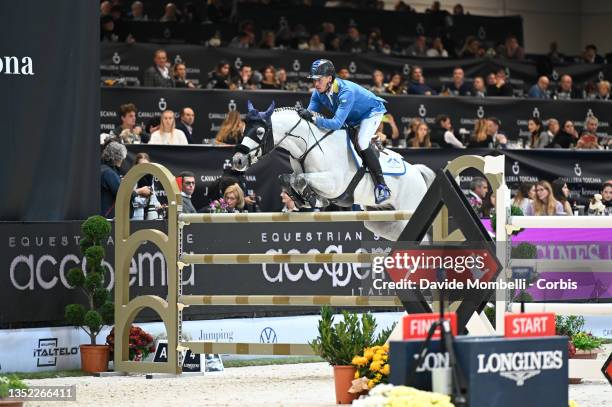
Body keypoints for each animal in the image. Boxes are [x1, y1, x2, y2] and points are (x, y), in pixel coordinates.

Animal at [231, 103, 436, 242]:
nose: (237, 160)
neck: (309, 143)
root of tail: (417, 173)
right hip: (382, 221)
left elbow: (300, 179)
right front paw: (302, 199)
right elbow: (287, 177)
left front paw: (313, 199)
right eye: (244, 128)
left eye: (259, 132)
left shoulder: (334, 184)